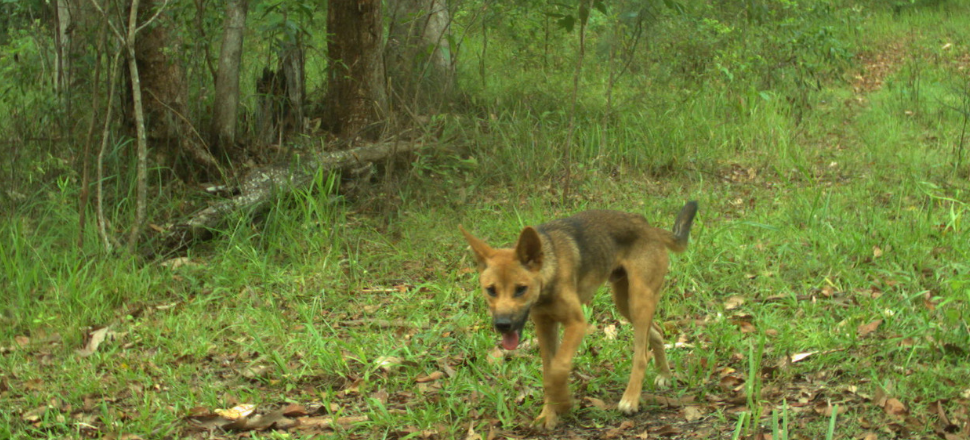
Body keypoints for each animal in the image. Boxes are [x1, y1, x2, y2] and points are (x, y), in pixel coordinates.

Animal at [462, 204, 696, 430]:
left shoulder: (576, 323)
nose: (502, 325)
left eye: (521, 289)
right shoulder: (545, 326)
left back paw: (630, 399)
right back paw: (664, 375)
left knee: (641, 355)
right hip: (625, 302)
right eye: (491, 290)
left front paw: (564, 402)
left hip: (640, 300)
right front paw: (549, 414)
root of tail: (647, 226)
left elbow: (558, 369)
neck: (549, 273)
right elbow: (548, 372)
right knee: (656, 332)